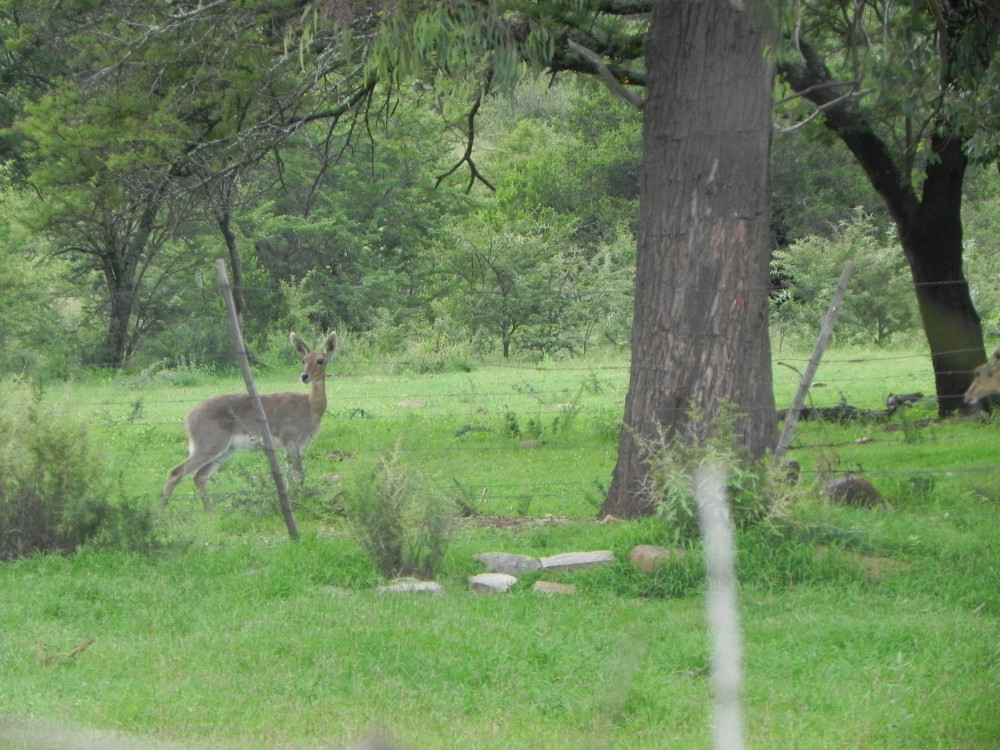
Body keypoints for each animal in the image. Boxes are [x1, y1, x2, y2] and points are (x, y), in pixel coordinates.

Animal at [160, 332, 340, 516]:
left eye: (320, 360)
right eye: (303, 360)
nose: (304, 376)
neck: (310, 407)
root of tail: (188, 418)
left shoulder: (298, 444)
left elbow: (293, 475)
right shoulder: (290, 439)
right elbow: (297, 476)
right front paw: (299, 502)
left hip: (225, 449)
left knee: (199, 476)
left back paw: (211, 513)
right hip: (209, 443)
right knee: (176, 472)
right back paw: (160, 513)